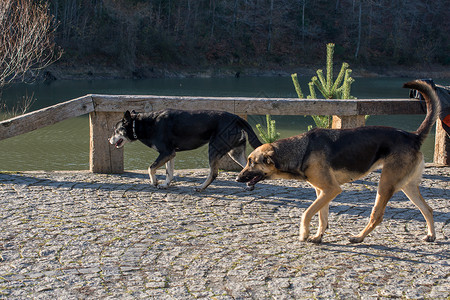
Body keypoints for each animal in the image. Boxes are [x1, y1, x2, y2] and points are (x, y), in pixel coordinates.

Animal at [109, 109, 262, 191]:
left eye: (116, 130)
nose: (109, 140)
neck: (143, 124)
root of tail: (237, 118)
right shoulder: (170, 154)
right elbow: (169, 172)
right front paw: (165, 184)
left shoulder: (166, 152)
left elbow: (151, 168)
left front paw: (154, 182)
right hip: (235, 152)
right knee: (247, 167)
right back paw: (250, 186)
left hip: (214, 148)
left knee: (213, 173)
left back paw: (201, 187)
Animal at [237, 80, 442, 244]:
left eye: (251, 161)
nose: (238, 179)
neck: (302, 150)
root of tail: (413, 136)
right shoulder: (322, 191)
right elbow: (322, 216)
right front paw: (318, 236)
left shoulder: (331, 189)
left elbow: (306, 213)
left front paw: (304, 233)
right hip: (407, 186)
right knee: (428, 209)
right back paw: (431, 235)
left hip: (385, 185)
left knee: (377, 216)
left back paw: (359, 237)